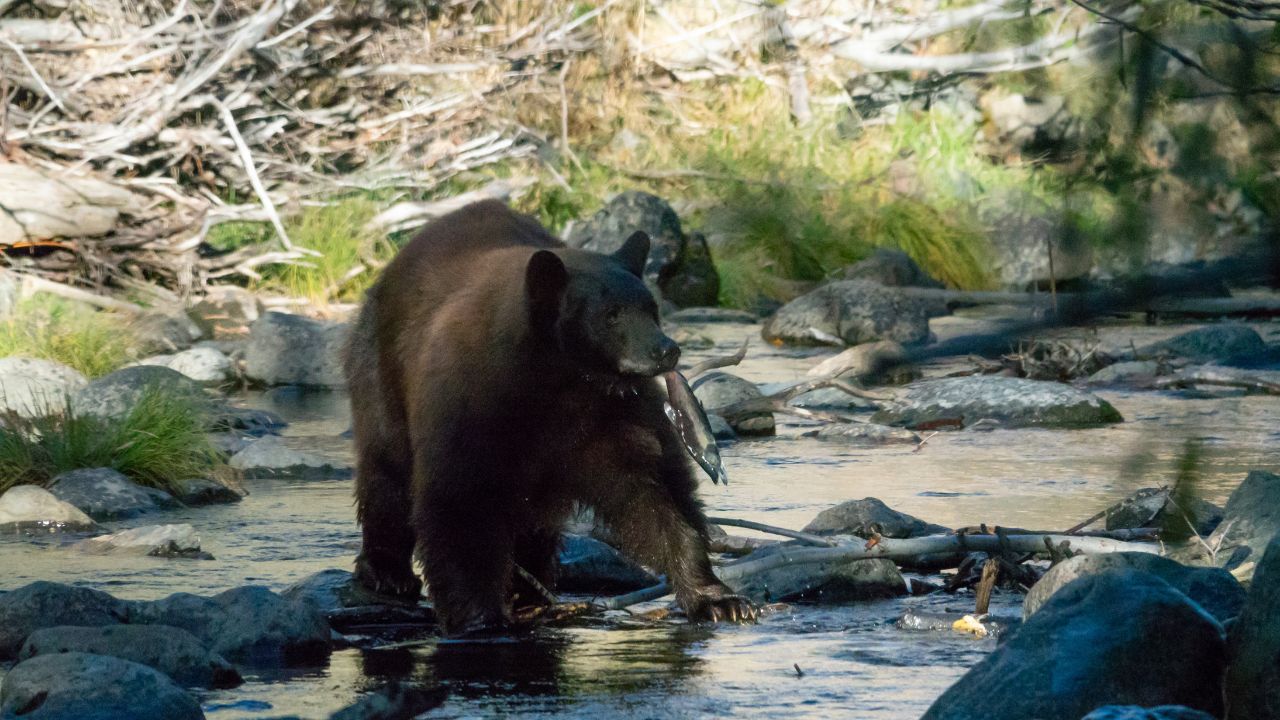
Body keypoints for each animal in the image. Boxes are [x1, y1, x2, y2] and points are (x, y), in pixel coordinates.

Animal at [344, 199, 755, 636]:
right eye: (611, 314)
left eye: (652, 308)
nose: (667, 350)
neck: (556, 378)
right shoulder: (469, 405)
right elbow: (458, 502)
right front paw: (478, 617)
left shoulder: (614, 415)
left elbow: (655, 492)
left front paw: (719, 599)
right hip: (381, 376)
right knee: (387, 472)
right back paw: (387, 571)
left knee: (533, 520)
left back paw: (531, 587)